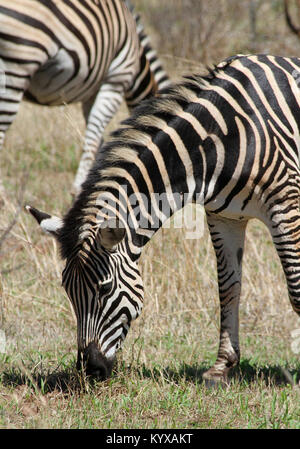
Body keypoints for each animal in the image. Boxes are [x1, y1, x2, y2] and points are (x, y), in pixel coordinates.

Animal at [0, 0, 170, 196]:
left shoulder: (92, 95)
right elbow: (93, 139)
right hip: (19, 63)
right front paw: (82, 189)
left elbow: (99, 141)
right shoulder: (116, 80)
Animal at [27, 53, 300, 382]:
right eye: (67, 290)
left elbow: (296, 290)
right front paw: (222, 366)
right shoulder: (224, 217)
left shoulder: (285, 205)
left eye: (105, 288)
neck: (222, 139)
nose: (90, 370)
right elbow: (228, 288)